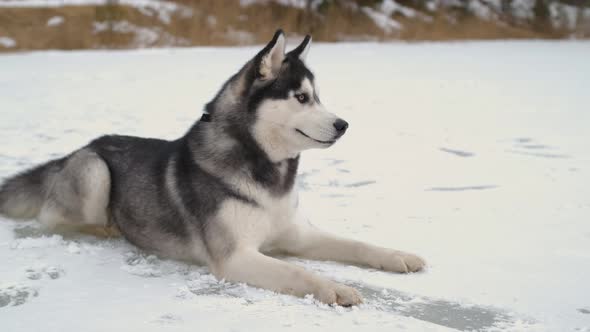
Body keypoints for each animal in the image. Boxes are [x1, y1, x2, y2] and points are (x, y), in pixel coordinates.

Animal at [0, 31, 426, 306]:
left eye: (318, 97)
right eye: (302, 97)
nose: (343, 125)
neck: (263, 168)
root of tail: (81, 146)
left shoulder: (297, 234)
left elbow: (356, 244)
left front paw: (397, 256)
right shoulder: (235, 257)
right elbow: (297, 272)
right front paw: (331, 288)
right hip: (94, 171)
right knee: (52, 218)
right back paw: (107, 228)